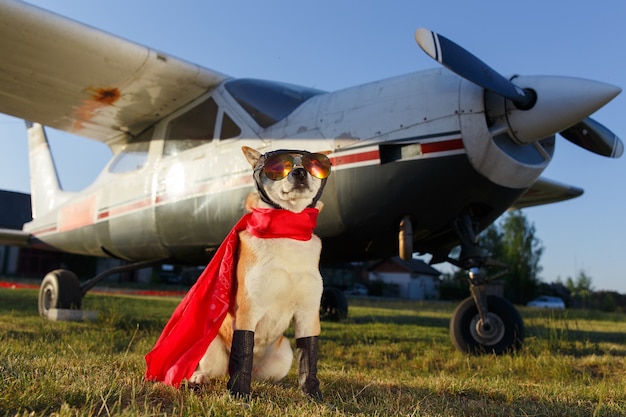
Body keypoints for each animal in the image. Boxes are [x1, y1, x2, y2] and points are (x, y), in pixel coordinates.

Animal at [188, 145, 330, 398]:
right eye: (279, 167)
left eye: (313, 165)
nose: (300, 172)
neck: (288, 231)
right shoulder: (249, 307)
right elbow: (242, 351)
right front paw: (239, 394)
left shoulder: (308, 312)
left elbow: (309, 358)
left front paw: (313, 394)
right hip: (210, 346)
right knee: (212, 369)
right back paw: (198, 377)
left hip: (283, 354)